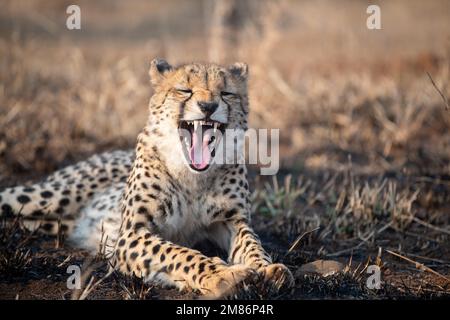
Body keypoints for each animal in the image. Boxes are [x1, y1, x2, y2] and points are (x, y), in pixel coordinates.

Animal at [0, 58, 294, 298]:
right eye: (184, 90)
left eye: (226, 93)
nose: (208, 106)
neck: (193, 177)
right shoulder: (131, 233)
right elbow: (179, 253)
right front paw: (221, 274)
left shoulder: (231, 220)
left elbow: (252, 244)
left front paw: (268, 269)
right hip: (49, 197)